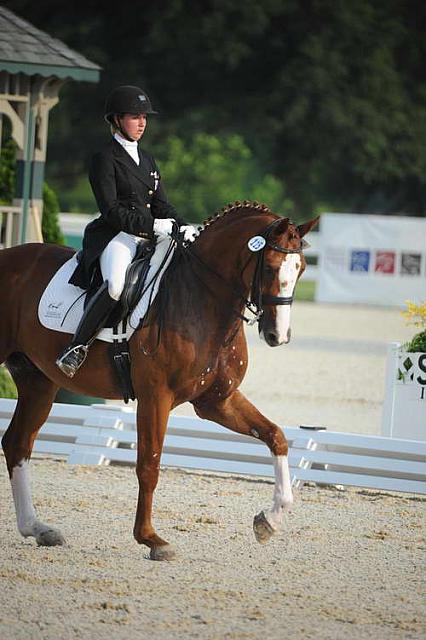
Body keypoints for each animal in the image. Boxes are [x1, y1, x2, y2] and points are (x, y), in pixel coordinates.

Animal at [0, 201, 318, 560]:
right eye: (270, 268)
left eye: (302, 269)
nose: (279, 335)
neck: (201, 300)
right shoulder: (156, 397)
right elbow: (149, 465)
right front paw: (151, 539)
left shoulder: (217, 401)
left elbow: (275, 436)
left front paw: (269, 520)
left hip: (38, 381)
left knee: (18, 444)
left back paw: (37, 528)